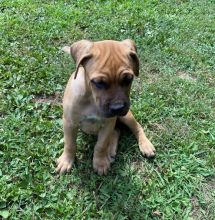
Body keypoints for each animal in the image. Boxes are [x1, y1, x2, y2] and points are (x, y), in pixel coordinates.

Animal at [56, 39, 155, 175]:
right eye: (99, 82)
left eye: (128, 79)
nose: (118, 107)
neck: (91, 98)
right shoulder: (69, 123)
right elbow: (70, 144)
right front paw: (66, 161)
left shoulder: (108, 123)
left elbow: (101, 145)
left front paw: (100, 162)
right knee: (117, 131)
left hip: (125, 115)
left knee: (135, 127)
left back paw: (145, 145)